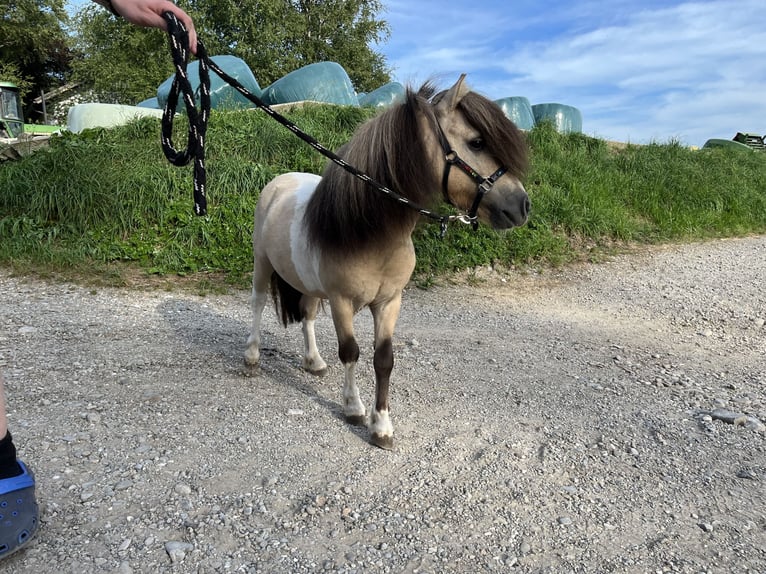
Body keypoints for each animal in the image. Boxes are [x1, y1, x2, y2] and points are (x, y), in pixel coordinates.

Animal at [244, 75, 530, 449]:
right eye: (477, 142)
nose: (522, 205)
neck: (371, 232)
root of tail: (280, 182)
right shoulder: (342, 302)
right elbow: (350, 352)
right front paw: (354, 408)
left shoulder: (389, 302)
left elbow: (384, 360)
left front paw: (381, 426)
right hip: (262, 263)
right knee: (259, 303)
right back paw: (251, 356)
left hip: (309, 284)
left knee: (306, 314)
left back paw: (314, 362)